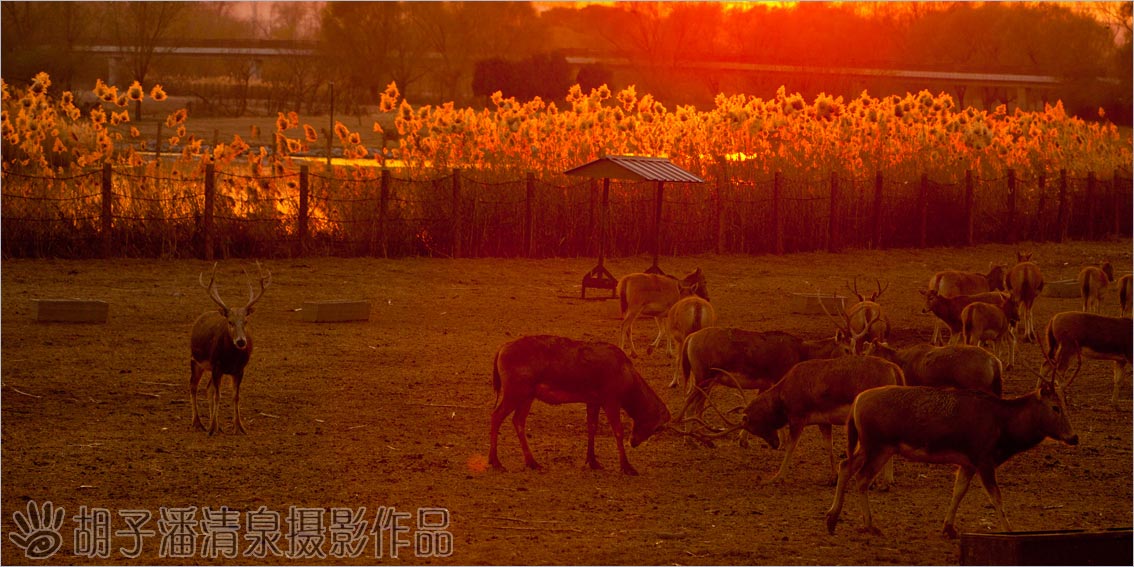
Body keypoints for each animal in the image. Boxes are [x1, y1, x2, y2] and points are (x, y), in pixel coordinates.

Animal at [190, 260, 272, 433]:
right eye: (230, 322)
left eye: (245, 321)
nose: (241, 341)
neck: (231, 358)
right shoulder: (217, 365)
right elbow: (218, 395)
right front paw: (212, 428)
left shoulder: (239, 369)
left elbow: (235, 396)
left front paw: (239, 426)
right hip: (195, 360)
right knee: (193, 386)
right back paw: (198, 423)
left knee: (207, 388)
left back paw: (215, 425)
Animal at [489, 333, 671, 476]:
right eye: (656, 427)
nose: (633, 442)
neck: (628, 381)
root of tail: (501, 349)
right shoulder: (610, 399)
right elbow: (618, 431)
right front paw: (627, 467)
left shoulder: (593, 401)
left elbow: (592, 427)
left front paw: (593, 461)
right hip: (515, 392)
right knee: (496, 416)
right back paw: (495, 461)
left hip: (528, 395)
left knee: (518, 421)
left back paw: (532, 462)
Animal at [825, 369, 1079, 537]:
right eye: (1055, 407)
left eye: (1066, 404)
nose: (1073, 437)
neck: (1003, 428)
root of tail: (857, 402)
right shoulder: (983, 457)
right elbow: (996, 497)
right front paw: (1009, 531)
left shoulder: (968, 462)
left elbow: (958, 491)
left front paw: (948, 528)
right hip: (880, 444)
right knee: (861, 478)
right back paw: (870, 525)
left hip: (868, 444)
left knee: (846, 465)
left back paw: (832, 519)